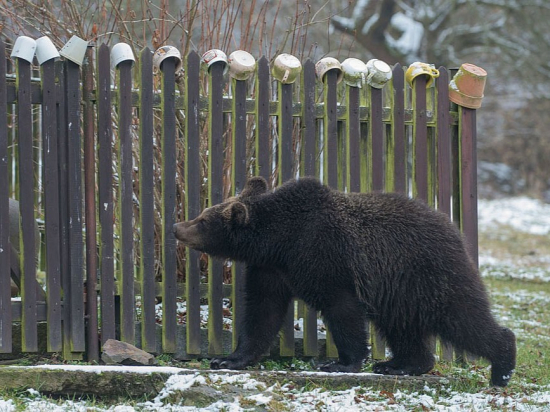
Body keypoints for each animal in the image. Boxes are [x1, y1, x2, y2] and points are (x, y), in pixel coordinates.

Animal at [174, 176, 516, 386]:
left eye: (203, 220)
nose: (177, 226)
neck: (280, 241)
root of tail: (453, 227)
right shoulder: (270, 270)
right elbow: (262, 312)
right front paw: (228, 359)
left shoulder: (325, 257)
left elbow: (341, 309)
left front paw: (340, 363)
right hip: (400, 292)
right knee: (402, 327)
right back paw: (399, 364)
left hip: (429, 273)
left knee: (463, 318)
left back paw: (502, 366)